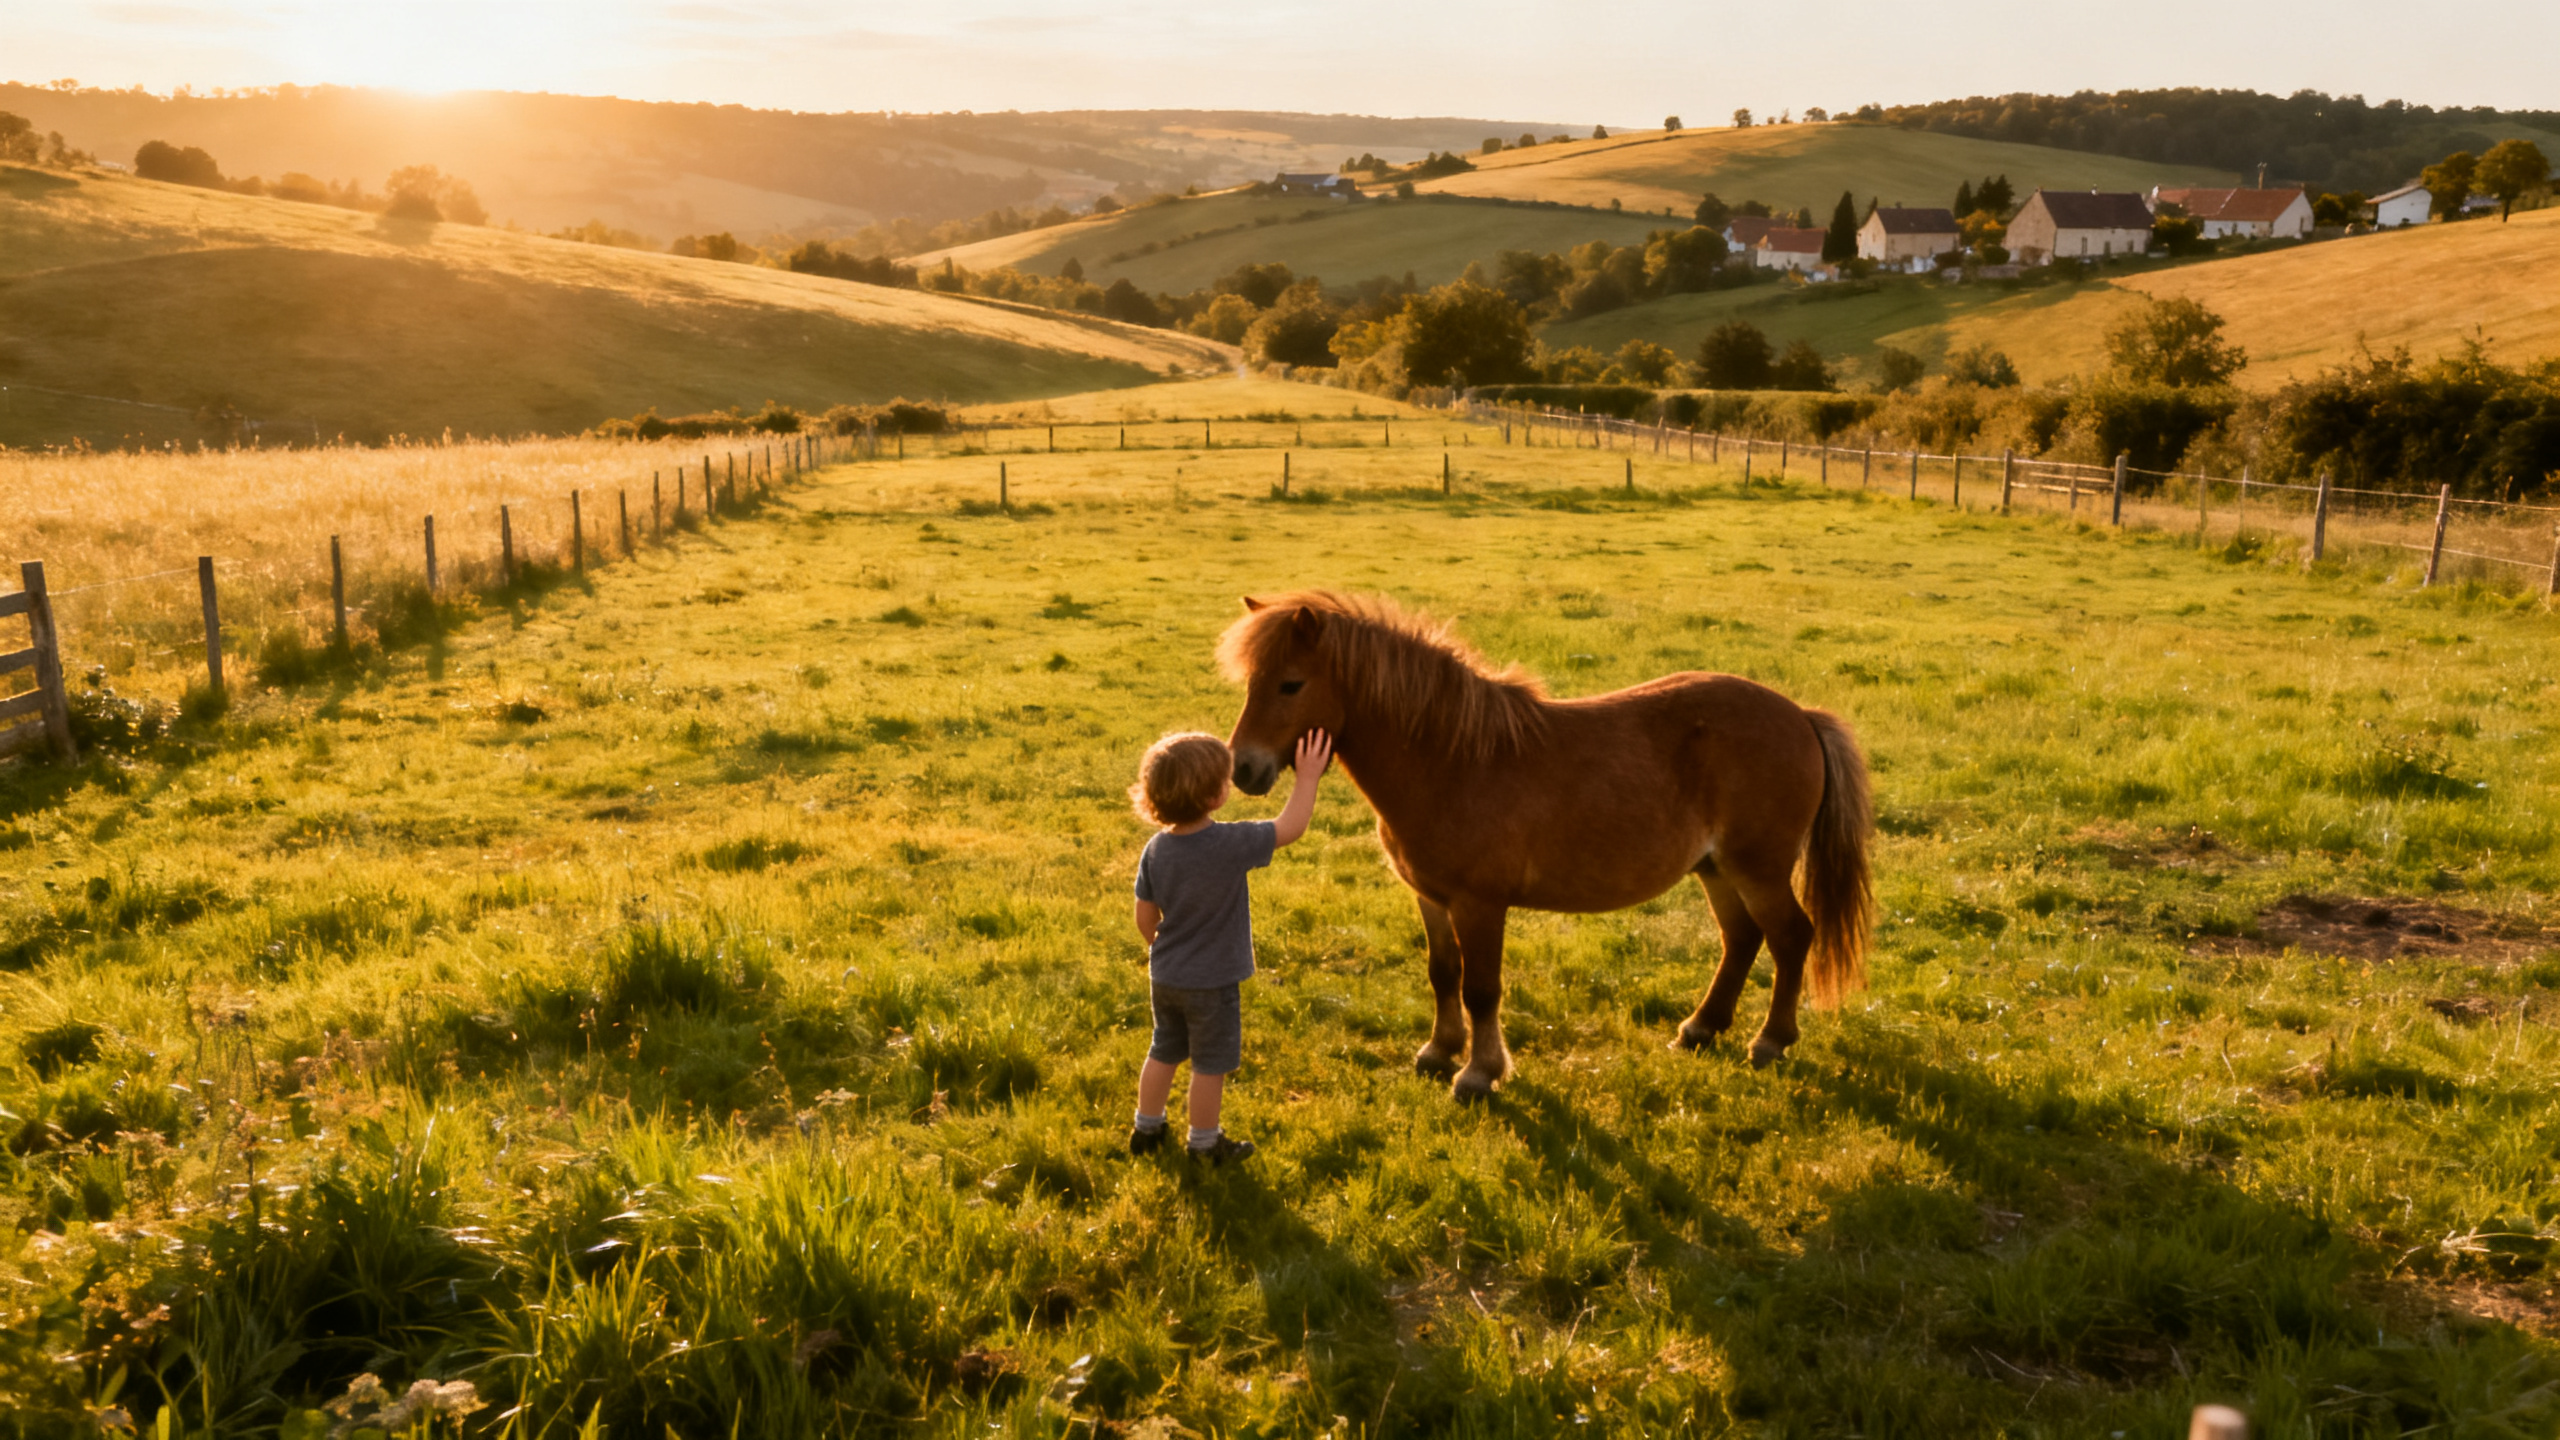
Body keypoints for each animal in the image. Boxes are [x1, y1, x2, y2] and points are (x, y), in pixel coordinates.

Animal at [1218, 591, 1874, 1099]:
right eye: (1251, 682)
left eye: (1291, 684)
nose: (1242, 769)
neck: (1452, 760)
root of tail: (1800, 715)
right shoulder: (1432, 899)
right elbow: (1443, 972)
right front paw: (1438, 1051)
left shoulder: (1480, 905)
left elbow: (1481, 989)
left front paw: (1479, 1073)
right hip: (1716, 869)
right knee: (1741, 939)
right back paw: (1700, 1029)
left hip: (1757, 869)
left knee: (1791, 937)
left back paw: (1770, 1041)